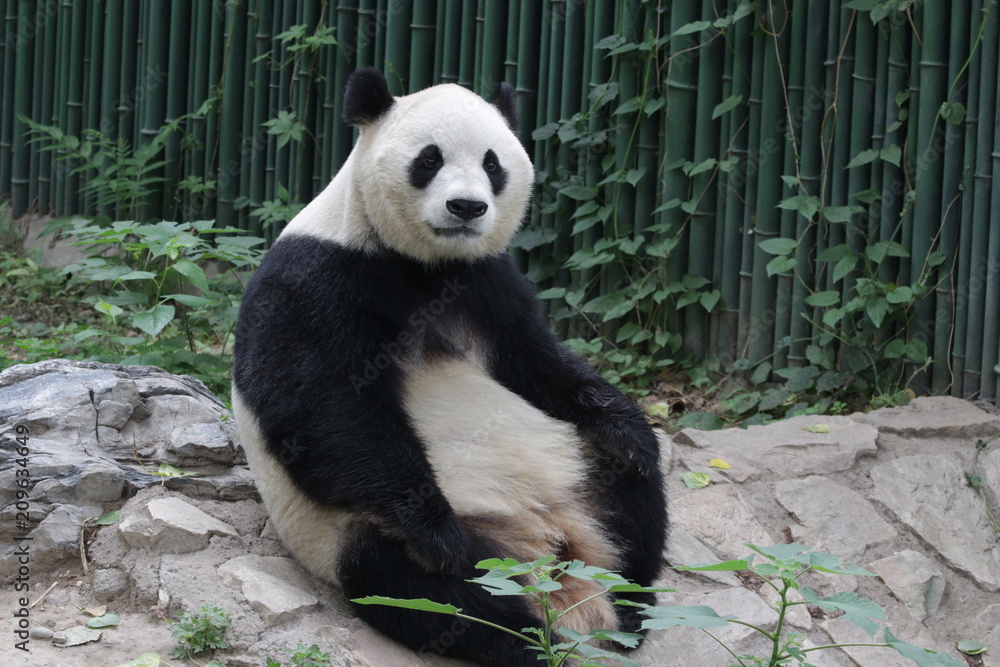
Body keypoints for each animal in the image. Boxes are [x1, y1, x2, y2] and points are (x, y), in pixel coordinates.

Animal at [232, 68, 667, 667]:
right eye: (429, 159)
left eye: (493, 163)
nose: (466, 208)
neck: (425, 264)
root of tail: (546, 549)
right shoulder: (316, 278)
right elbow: (321, 409)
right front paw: (437, 533)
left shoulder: (490, 280)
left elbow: (538, 365)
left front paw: (629, 428)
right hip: (351, 534)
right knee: (439, 592)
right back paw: (533, 635)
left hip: (579, 470)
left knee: (634, 499)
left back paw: (628, 609)